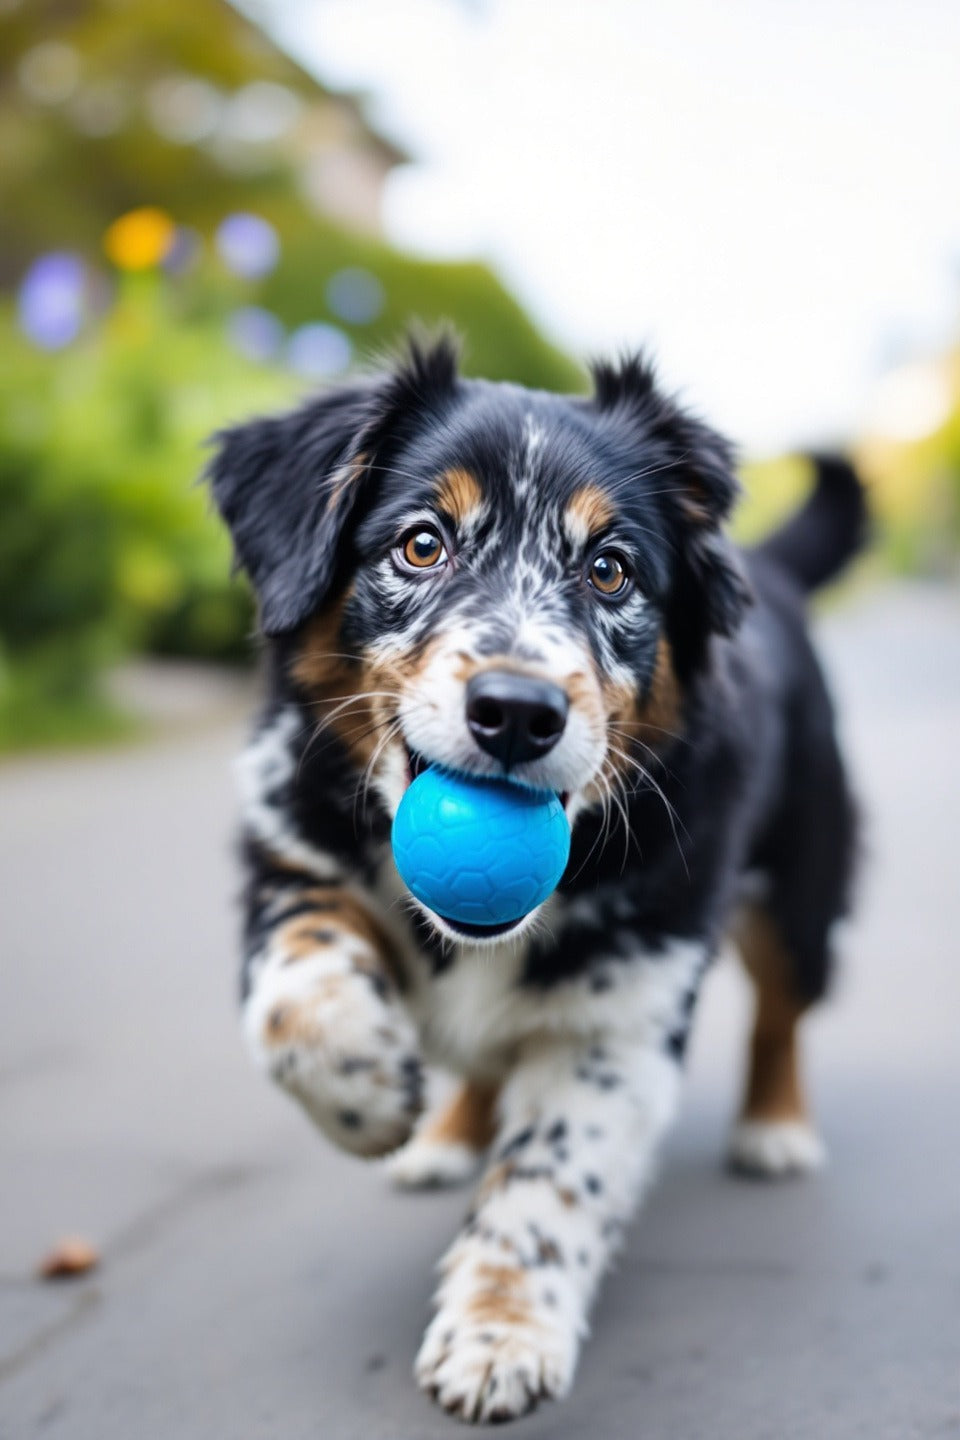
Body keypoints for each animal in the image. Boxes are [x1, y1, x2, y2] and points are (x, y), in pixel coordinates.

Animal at [208, 334, 863, 1416]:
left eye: (610, 570)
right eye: (421, 544)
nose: (517, 712)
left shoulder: (622, 1014)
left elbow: (549, 1184)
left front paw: (499, 1334)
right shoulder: (288, 846)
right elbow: (295, 995)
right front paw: (366, 1096)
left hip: (803, 885)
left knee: (782, 1009)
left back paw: (776, 1127)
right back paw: (444, 1135)